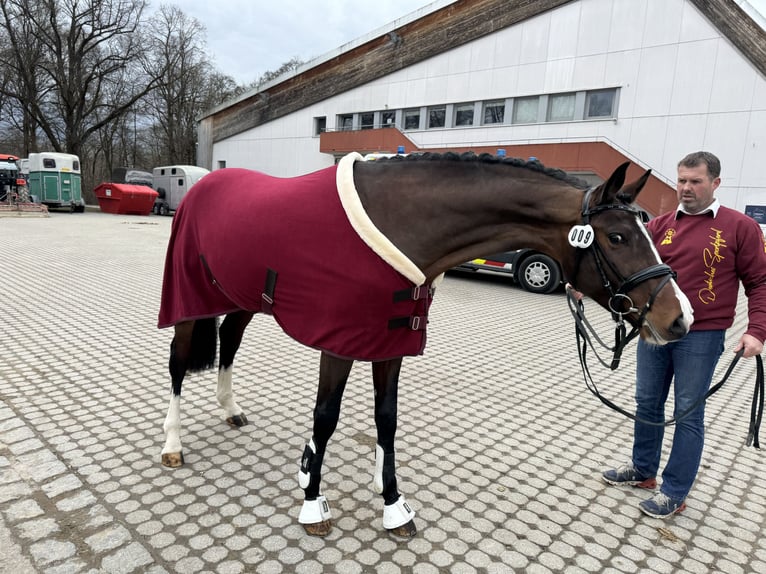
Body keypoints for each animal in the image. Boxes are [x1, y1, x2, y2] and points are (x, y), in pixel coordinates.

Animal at [157, 151, 693, 538]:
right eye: (618, 236)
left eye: (648, 230)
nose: (680, 318)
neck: (399, 222)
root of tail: (201, 185)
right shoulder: (339, 343)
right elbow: (326, 419)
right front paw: (312, 501)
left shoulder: (390, 341)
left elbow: (386, 420)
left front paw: (392, 502)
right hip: (189, 299)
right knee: (178, 365)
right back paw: (173, 444)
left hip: (242, 297)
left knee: (230, 341)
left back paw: (230, 409)